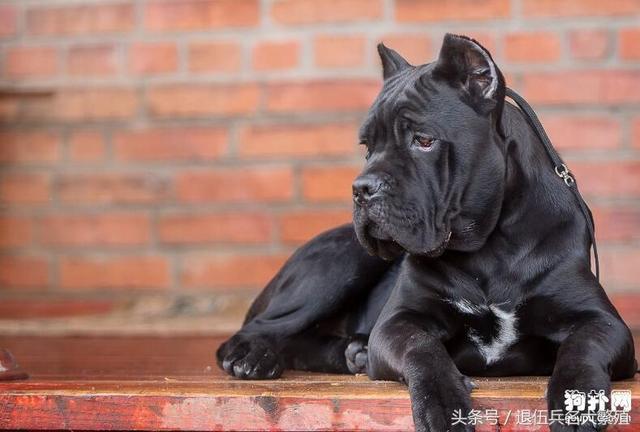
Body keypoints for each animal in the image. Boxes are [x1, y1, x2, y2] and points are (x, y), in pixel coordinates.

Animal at [218, 34, 636, 432]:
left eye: (423, 140)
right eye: (367, 147)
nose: (362, 188)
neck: (491, 247)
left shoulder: (603, 322)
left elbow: (582, 349)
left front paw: (577, 403)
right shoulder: (398, 322)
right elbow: (422, 348)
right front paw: (442, 404)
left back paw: (353, 352)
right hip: (342, 261)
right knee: (258, 329)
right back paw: (254, 357)